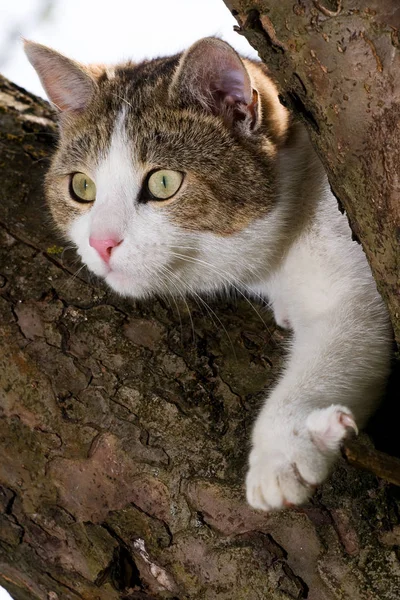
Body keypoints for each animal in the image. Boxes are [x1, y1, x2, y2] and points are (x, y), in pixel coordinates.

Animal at [24, 36, 390, 510]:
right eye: (81, 187)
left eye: (163, 183)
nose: (101, 242)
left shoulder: (352, 271)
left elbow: (346, 335)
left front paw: (283, 450)